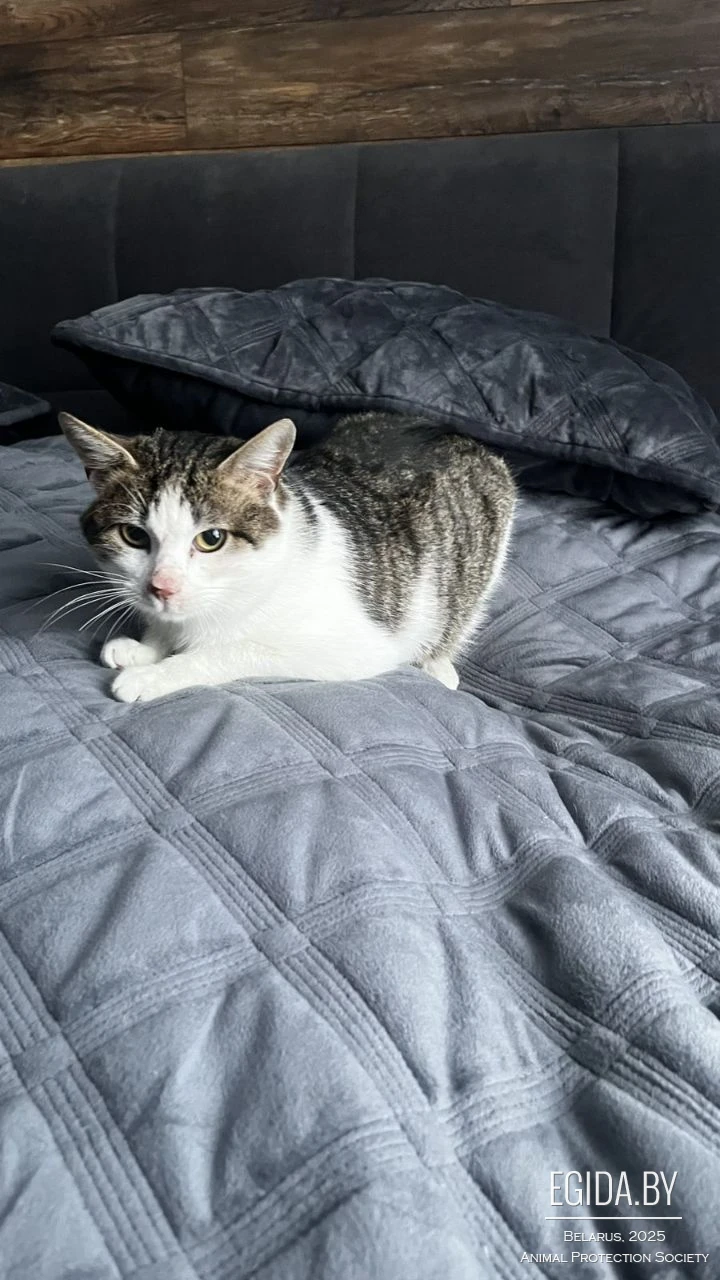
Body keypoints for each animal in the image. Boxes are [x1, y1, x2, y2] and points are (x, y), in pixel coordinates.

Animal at [58, 411, 516, 702]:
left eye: (211, 539)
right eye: (134, 535)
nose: (162, 586)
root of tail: (443, 427)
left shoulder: (352, 648)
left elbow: (232, 652)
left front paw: (154, 674)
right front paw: (146, 647)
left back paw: (440, 664)